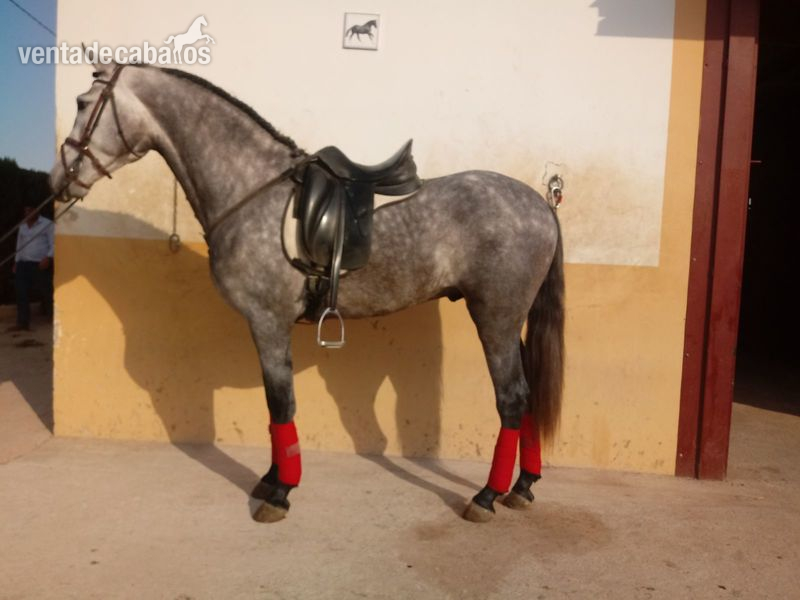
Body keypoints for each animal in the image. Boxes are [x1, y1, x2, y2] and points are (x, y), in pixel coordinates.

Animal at [50, 61, 564, 524]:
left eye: (82, 104)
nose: (58, 180)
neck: (251, 190)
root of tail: (540, 203)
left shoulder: (267, 321)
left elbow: (281, 403)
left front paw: (280, 492)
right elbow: (273, 404)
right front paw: (271, 479)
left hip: (494, 318)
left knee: (512, 399)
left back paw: (486, 497)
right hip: (510, 321)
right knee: (528, 395)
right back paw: (522, 486)